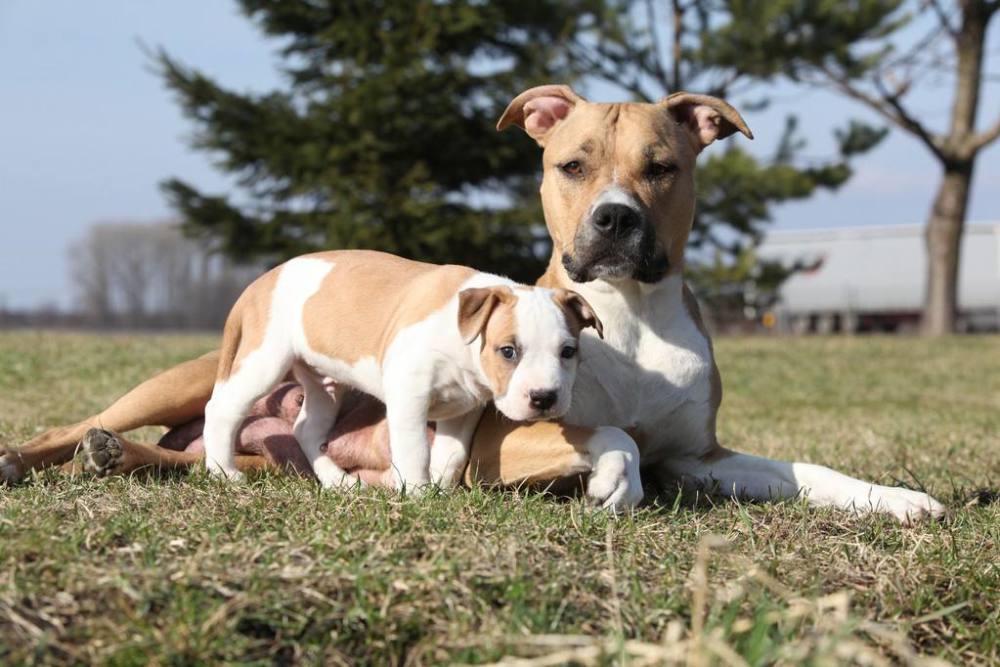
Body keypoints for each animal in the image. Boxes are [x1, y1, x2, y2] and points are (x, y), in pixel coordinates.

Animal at [199, 250, 596, 490]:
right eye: (508, 351)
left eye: (568, 352)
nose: (544, 398)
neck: (460, 335)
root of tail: (260, 283)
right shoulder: (409, 394)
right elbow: (415, 448)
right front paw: (419, 494)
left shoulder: (464, 408)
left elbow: (451, 454)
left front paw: (440, 491)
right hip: (264, 361)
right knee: (221, 410)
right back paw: (224, 472)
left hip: (323, 384)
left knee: (306, 429)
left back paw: (338, 482)